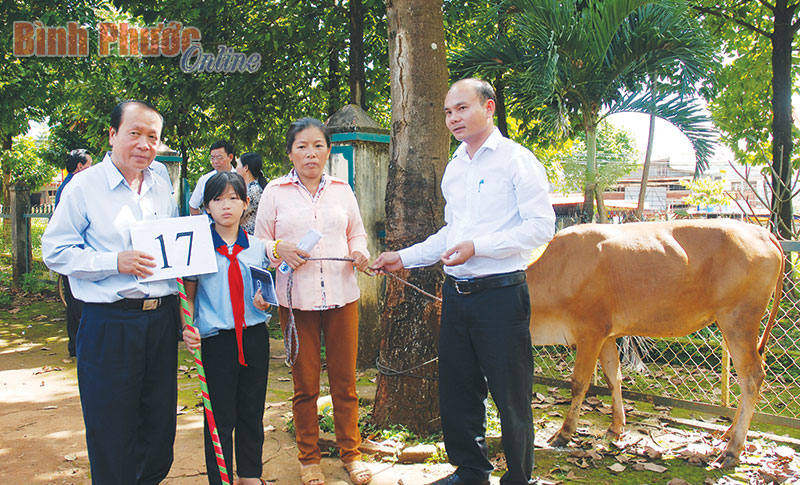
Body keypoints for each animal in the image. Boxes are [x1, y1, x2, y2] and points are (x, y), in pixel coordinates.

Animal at [528, 218, 784, 466]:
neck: (557, 271)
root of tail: (763, 232)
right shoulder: (607, 335)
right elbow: (614, 378)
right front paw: (615, 428)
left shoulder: (590, 332)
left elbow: (579, 383)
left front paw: (564, 434)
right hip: (729, 325)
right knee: (747, 376)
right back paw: (730, 433)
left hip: (738, 320)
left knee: (752, 376)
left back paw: (732, 450)